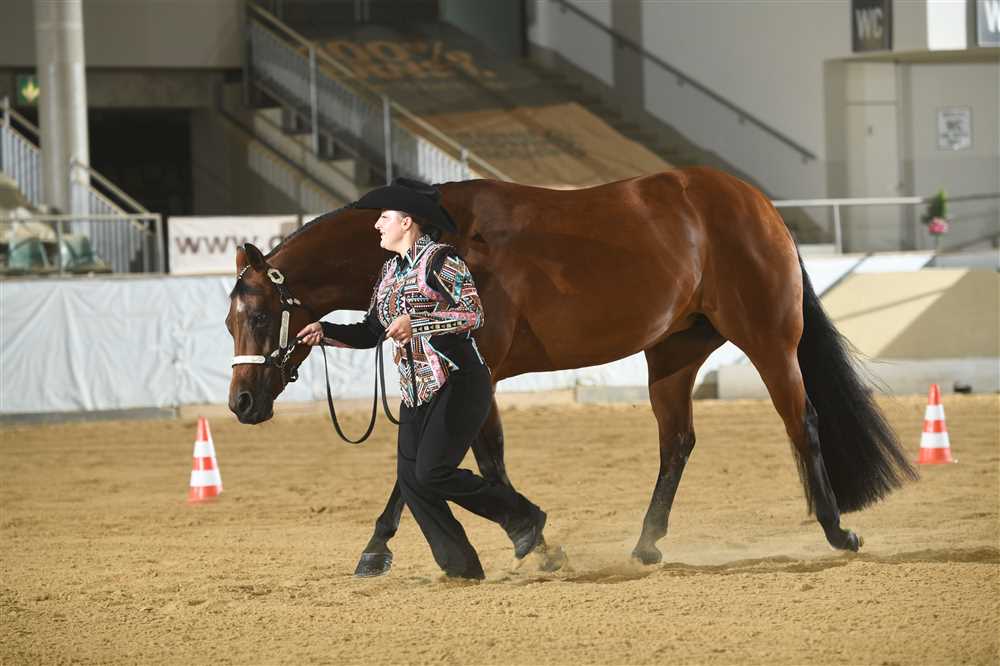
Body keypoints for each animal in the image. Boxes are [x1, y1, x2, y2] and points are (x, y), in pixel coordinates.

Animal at [226, 166, 917, 575]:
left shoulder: (479, 373)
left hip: (770, 340)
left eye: (259, 315)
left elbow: (465, 463)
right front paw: (387, 549)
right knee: (677, 441)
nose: (241, 404)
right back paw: (646, 545)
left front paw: (530, 541)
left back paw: (838, 534)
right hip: (673, 353)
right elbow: (448, 466)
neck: (448, 235)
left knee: (802, 422)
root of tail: (758, 205)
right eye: (229, 319)